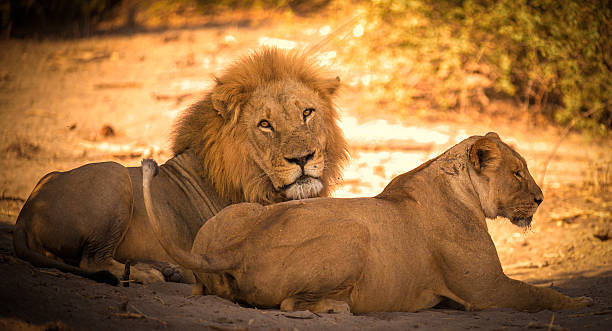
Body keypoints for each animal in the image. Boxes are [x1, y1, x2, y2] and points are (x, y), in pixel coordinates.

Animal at [11, 47, 350, 286]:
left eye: (307, 113)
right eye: (265, 124)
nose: (303, 158)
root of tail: (25, 215)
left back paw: (167, 269)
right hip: (115, 175)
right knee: (93, 261)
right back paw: (149, 274)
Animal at [141, 132, 592, 314]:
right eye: (517, 172)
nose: (541, 198)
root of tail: (234, 249)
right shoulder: (487, 290)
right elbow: (540, 294)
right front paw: (583, 303)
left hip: (237, 213)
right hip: (353, 231)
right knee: (291, 304)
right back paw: (338, 307)